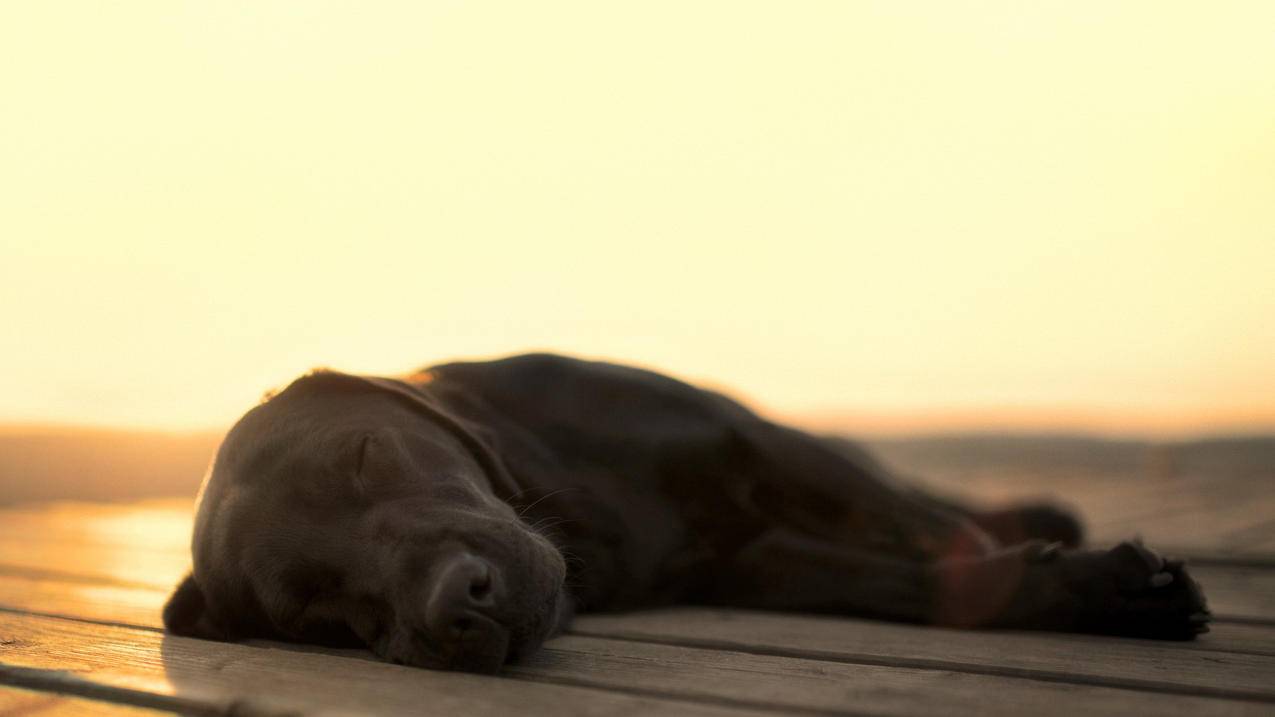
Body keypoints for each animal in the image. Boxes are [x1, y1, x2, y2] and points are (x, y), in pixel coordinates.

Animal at [164, 354, 1208, 673]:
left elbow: (917, 540)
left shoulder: (756, 444)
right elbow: (899, 579)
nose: (459, 603)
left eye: (365, 455)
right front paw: (1107, 591)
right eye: (317, 610)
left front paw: (1092, 579)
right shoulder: (758, 559)